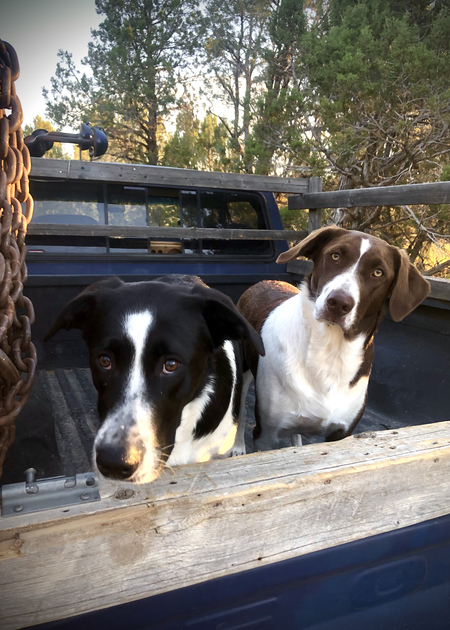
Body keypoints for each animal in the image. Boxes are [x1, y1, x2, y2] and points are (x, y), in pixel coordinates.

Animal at [234, 227, 430, 454]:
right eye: (335, 256)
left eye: (378, 272)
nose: (338, 302)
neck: (329, 350)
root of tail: (262, 282)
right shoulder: (266, 436)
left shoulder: (341, 434)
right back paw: (238, 446)